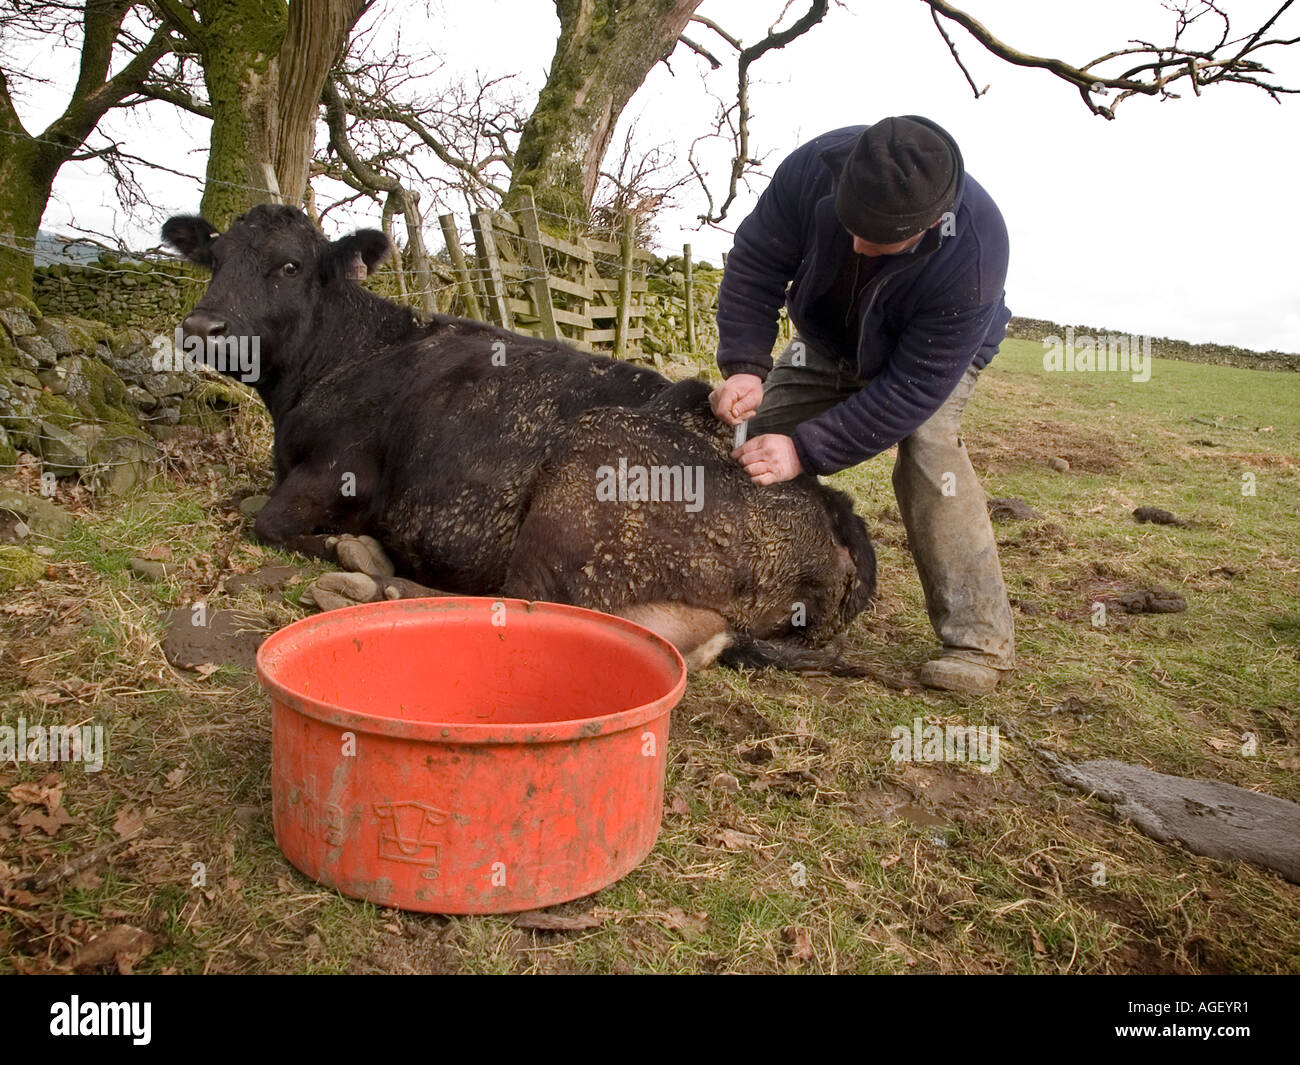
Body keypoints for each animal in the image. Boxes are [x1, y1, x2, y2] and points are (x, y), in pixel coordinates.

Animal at [162, 204, 875, 670]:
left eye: (289, 266)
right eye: (214, 257)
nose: (201, 327)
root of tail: (830, 505)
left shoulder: (335, 471)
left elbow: (263, 520)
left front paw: (341, 544)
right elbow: (244, 501)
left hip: (580, 488)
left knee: (525, 600)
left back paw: (376, 575)